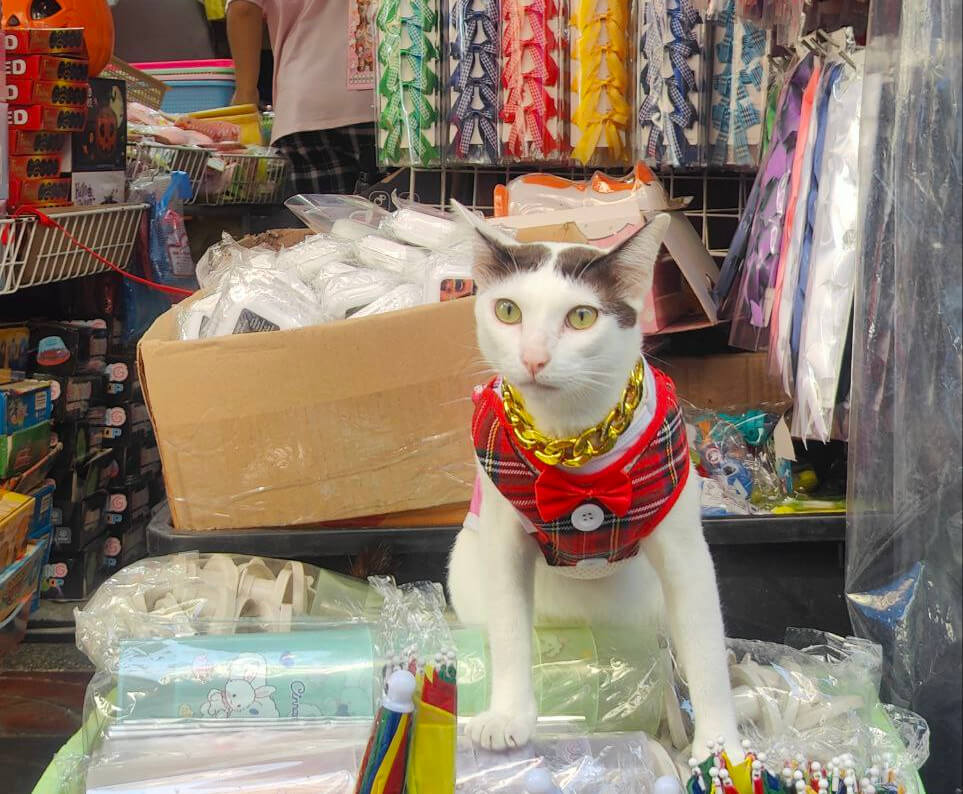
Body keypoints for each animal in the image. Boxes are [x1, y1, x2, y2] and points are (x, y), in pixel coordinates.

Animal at [448, 204, 740, 756]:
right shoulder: (502, 536)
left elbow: (705, 644)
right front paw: (509, 715)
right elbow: (510, 629)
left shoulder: (684, 549)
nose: (534, 357)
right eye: (508, 311)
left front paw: (721, 747)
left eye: (581, 317)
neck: (573, 441)